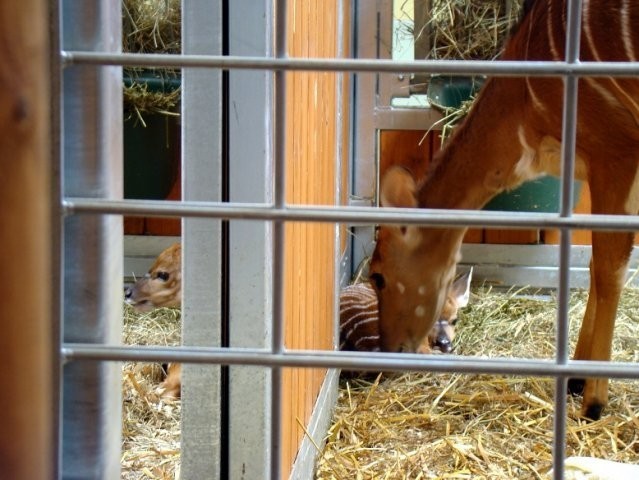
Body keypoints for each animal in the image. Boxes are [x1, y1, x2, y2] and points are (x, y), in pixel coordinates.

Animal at [368, 0, 639, 420]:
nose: (387, 351)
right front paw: (576, 378)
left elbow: (610, 269)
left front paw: (594, 400)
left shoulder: (615, 152)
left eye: (378, 275)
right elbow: (597, 266)